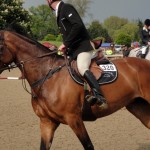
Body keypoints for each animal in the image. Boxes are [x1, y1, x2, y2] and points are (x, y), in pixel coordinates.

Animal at [0, 30, 150, 150]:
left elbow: (88, 145)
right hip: (137, 105)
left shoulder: (74, 118)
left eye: (0, 46)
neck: (47, 75)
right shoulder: (47, 122)